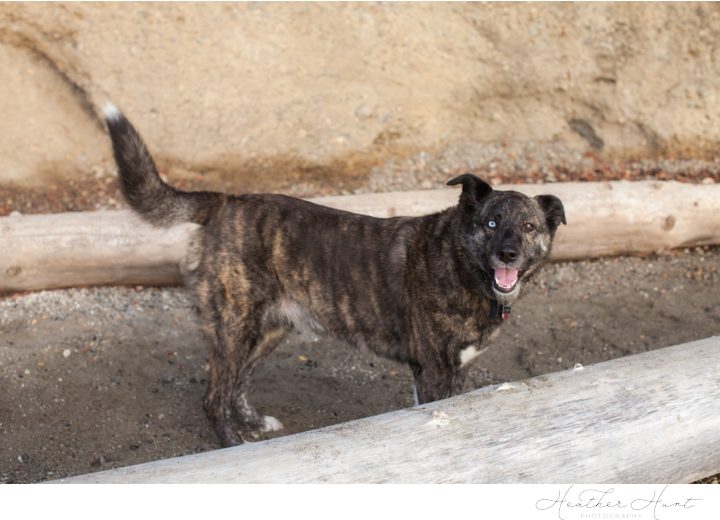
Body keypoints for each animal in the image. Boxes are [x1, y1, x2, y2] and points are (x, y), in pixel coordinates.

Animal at [101, 103, 564, 444]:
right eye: (490, 222)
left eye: (529, 226)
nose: (508, 254)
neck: (459, 264)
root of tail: (224, 201)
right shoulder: (432, 373)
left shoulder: (455, 373)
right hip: (234, 325)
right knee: (214, 397)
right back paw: (233, 444)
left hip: (267, 330)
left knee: (237, 386)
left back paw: (254, 424)